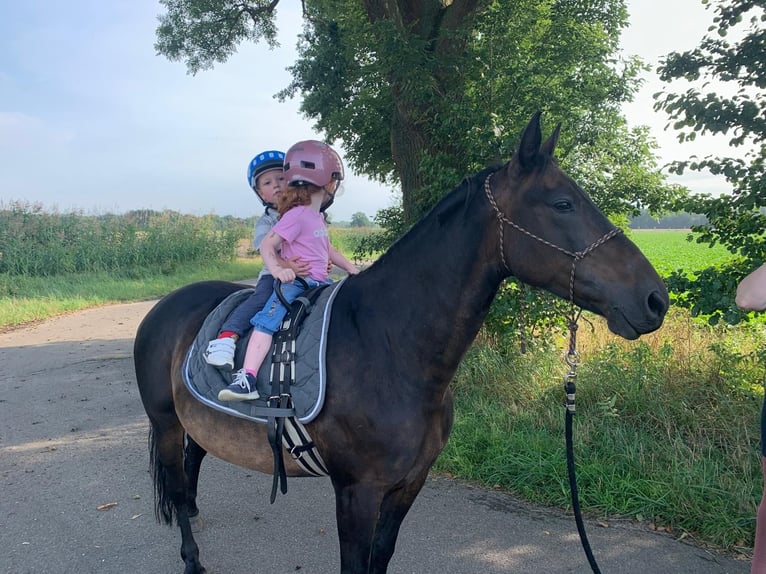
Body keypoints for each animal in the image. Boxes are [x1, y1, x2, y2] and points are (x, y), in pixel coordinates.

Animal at [133, 112, 669, 574]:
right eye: (562, 203)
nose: (655, 299)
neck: (390, 348)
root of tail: (165, 306)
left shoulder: (409, 484)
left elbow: (382, 556)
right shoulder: (357, 492)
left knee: (193, 466)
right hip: (165, 423)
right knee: (176, 487)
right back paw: (191, 558)